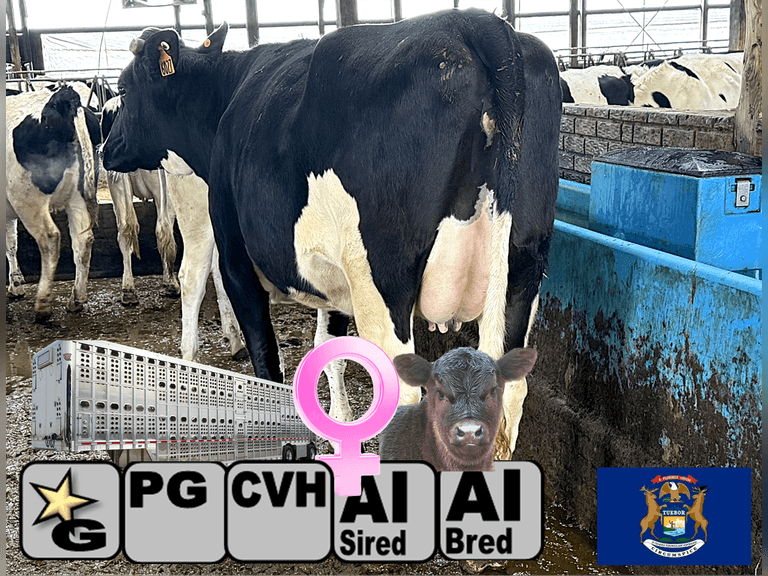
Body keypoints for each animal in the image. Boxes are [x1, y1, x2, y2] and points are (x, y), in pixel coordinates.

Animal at [6, 86, 100, 321]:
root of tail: (63, 97)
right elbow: (11, 243)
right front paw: (16, 285)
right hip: (77, 197)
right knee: (83, 240)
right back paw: (76, 300)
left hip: (28, 200)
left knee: (50, 238)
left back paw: (43, 305)